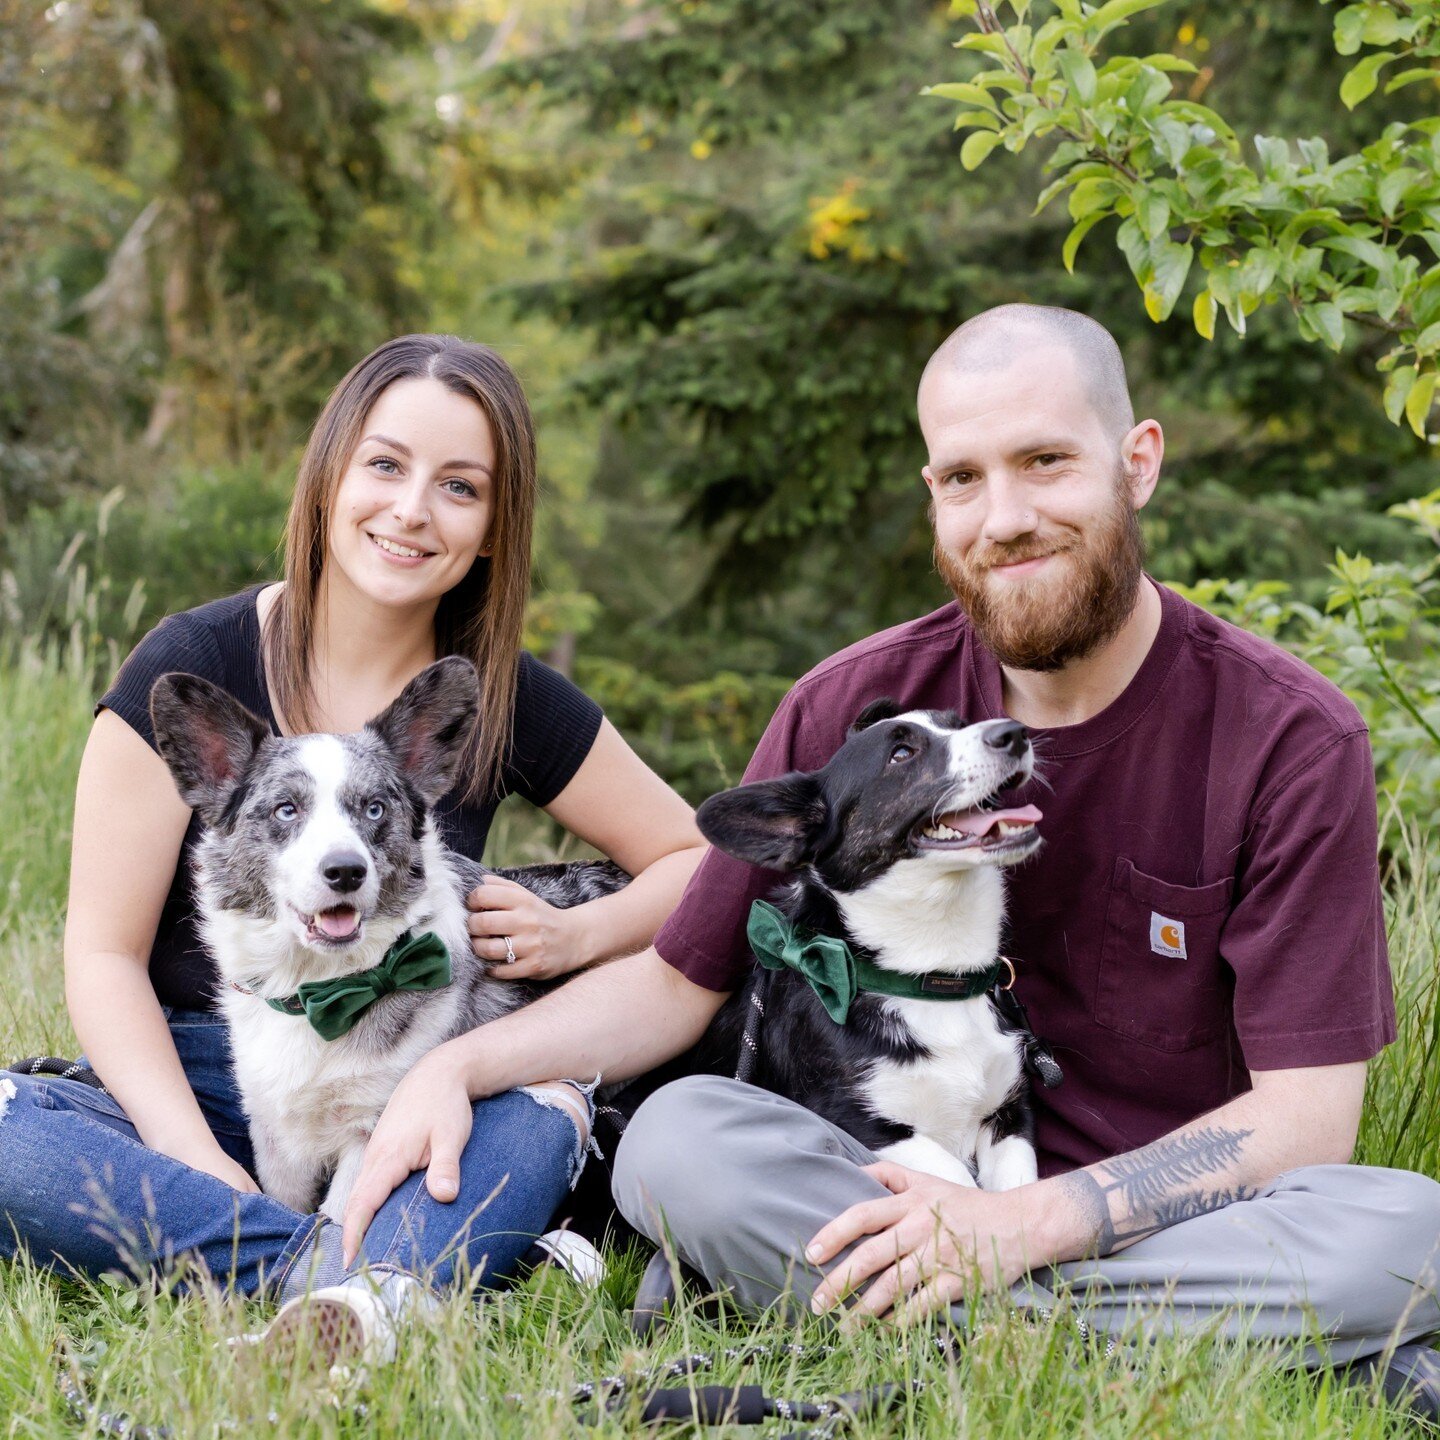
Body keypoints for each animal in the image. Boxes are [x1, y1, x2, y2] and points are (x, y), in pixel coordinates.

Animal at [149, 659, 627, 1221]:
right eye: (286, 810)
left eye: (375, 809)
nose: (345, 871)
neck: (321, 988)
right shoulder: (276, 1141)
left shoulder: (372, 1133)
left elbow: (332, 1229)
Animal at [691, 699, 1054, 1192]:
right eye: (900, 754)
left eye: (959, 724)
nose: (1014, 733)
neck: (931, 978)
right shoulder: (860, 1121)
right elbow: (956, 1181)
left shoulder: (1010, 1116)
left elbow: (1014, 1194)